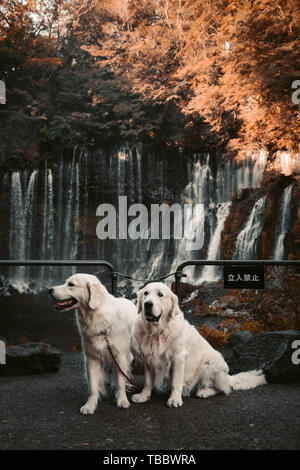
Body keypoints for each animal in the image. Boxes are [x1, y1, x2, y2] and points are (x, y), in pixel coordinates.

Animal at [49, 274, 137, 414]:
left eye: (71, 284)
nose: (49, 290)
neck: (96, 316)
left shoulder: (120, 356)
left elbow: (120, 381)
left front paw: (122, 399)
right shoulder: (91, 358)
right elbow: (93, 386)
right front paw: (90, 405)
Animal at [132, 282, 266, 408]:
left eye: (160, 294)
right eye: (146, 293)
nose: (147, 304)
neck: (157, 332)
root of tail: (227, 376)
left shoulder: (178, 358)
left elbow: (176, 381)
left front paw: (175, 399)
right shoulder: (147, 358)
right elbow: (148, 381)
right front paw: (143, 395)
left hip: (210, 364)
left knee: (224, 390)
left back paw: (204, 392)